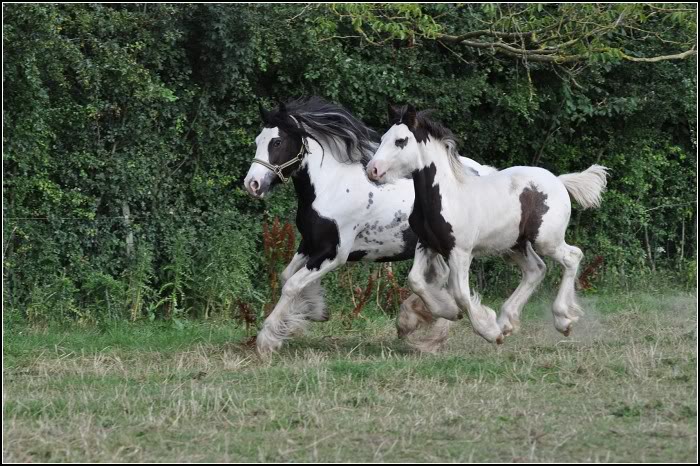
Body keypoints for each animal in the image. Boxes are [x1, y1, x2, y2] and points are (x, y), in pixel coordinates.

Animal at [243, 99, 494, 354]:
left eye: (277, 142)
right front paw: (313, 310)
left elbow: (292, 285)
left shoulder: (333, 254)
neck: (330, 188)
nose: (252, 184)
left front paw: (267, 340)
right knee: (440, 278)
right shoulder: (309, 244)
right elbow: (287, 276)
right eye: (257, 141)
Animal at [366, 105, 608, 342]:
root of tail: (558, 180)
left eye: (401, 141)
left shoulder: (461, 252)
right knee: (536, 269)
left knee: (572, 257)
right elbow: (415, 280)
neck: (447, 196)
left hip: (546, 240)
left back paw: (562, 320)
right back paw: (507, 322)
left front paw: (488, 332)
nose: (372, 170)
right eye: (383, 138)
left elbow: (461, 294)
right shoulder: (426, 244)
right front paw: (449, 311)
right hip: (514, 245)